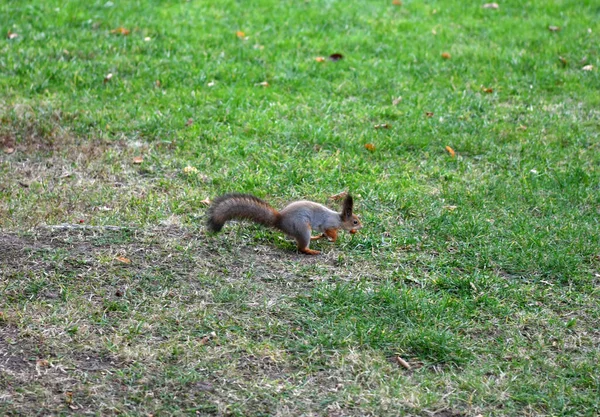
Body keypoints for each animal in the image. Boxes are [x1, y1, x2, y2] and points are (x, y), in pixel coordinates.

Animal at [209, 192, 364, 254]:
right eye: (355, 221)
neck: (338, 219)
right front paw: (334, 237)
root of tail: (280, 220)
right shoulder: (328, 223)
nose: (361, 226)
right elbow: (330, 231)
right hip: (302, 228)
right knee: (301, 248)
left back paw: (315, 239)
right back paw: (311, 251)